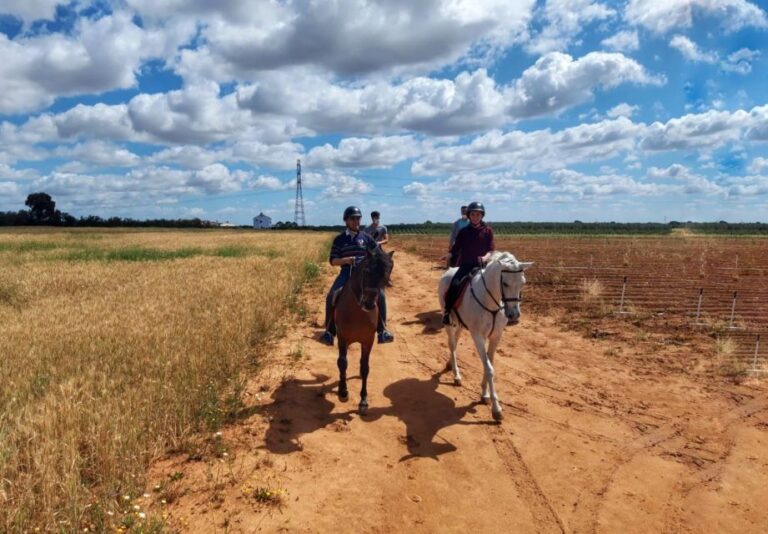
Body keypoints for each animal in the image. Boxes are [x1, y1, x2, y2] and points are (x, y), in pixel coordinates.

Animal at [332, 249, 392, 416]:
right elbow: (342, 363)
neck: (357, 312)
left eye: (386, 275)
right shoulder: (342, 338)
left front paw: (363, 401)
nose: (369, 304)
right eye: (367, 271)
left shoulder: (367, 340)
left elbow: (365, 368)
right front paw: (343, 393)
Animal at [438, 251, 536, 422]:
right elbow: (489, 369)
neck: (491, 302)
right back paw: (456, 375)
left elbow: (489, 363)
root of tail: (448, 271)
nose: (514, 315)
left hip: (460, 324)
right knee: (452, 344)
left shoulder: (496, 337)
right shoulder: (478, 337)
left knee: (455, 342)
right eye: (505, 284)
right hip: (449, 322)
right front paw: (496, 408)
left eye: (523, 283)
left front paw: (484, 394)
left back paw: (450, 365)